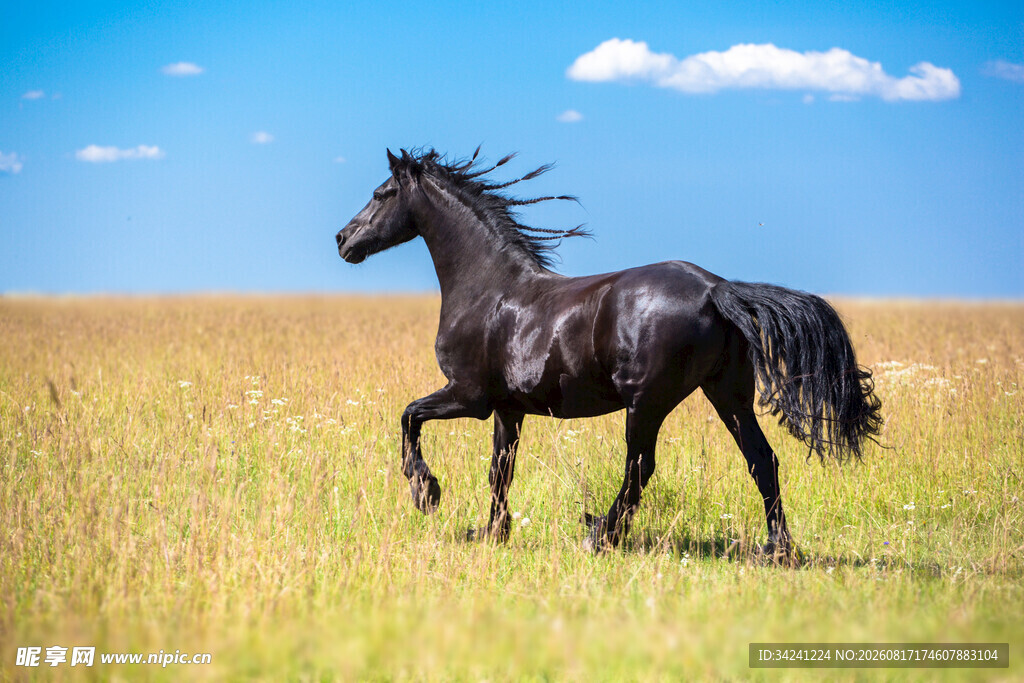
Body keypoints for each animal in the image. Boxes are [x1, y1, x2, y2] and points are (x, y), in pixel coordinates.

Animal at [335, 148, 882, 556]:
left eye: (382, 193)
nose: (343, 239)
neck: (488, 289)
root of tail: (715, 288)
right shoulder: (509, 410)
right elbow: (499, 470)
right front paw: (492, 531)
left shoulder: (470, 396)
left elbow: (409, 416)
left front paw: (426, 492)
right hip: (728, 395)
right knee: (761, 460)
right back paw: (778, 550)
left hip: (648, 403)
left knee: (641, 467)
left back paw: (600, 534)